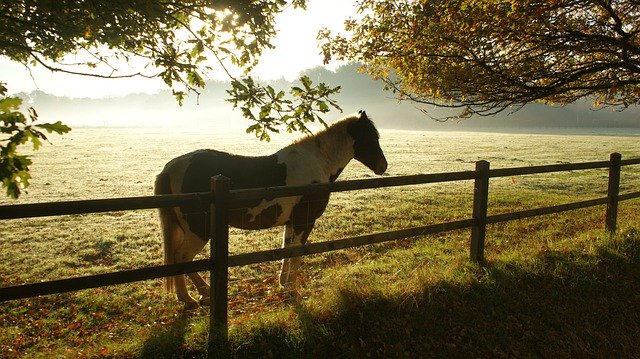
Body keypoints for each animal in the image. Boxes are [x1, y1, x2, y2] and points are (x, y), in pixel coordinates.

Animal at [155, 110, 388, 310]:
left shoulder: (292, 223)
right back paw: (194, 296)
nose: (383, 166)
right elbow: (296, 253)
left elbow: (287, 250)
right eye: (370, 137)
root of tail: (169, 168)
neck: (317, 163)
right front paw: (293, 290)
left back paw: (192, 296)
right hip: (199, 231)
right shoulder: (304, 221)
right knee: (181, 257)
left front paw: (283, 284)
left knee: (177, 258)